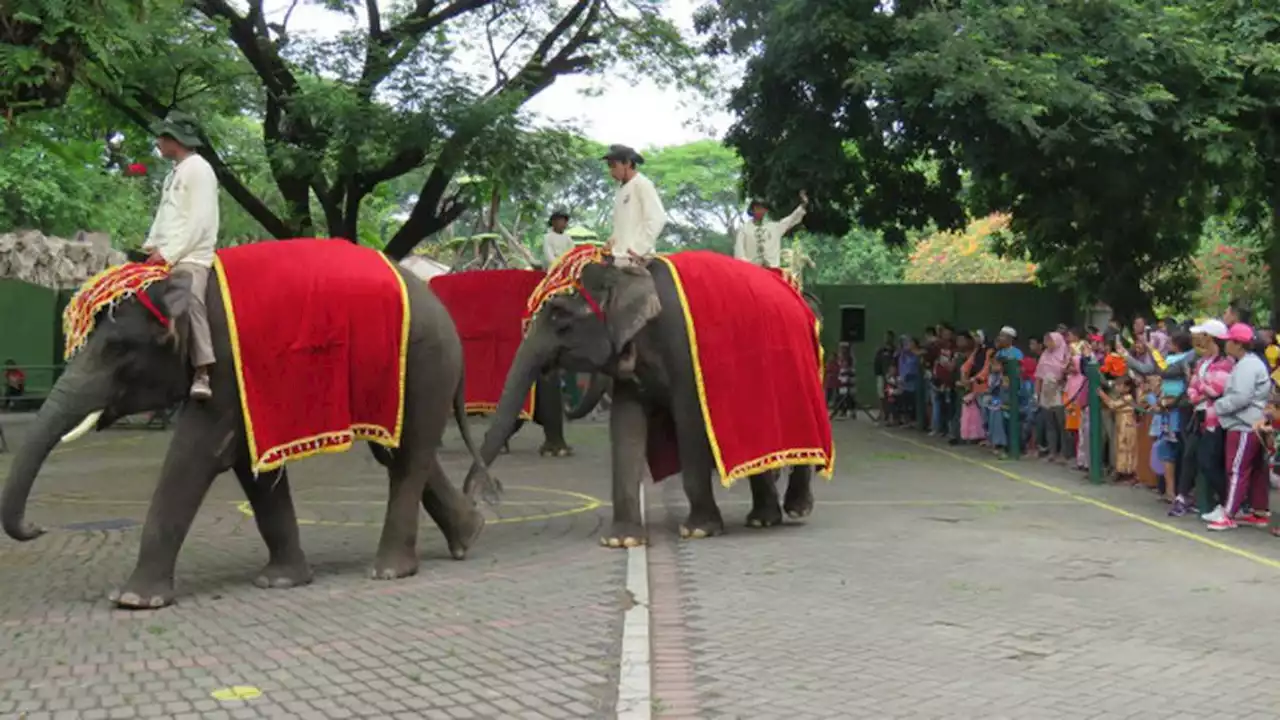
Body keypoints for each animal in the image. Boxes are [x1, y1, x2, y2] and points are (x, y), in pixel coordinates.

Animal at [1, 260, 499, 607]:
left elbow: (195, 456)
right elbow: (251, 471)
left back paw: (391, 570)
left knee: (408, 455)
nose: (37, 527)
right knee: (395, 452)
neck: (181, 280)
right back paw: (470, 534)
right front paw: (280, 581)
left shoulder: (222, 370)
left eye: (117, 348)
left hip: (424, 363)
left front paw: (134, 601)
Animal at [465, 253, 824, 543]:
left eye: (559, 317)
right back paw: (762, 520)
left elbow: (689, 420)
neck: (630, 274)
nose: (488, 493)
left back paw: (796, 509)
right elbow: (626, 426)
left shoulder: (684, 351)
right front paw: (622, 539)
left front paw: (698, 530)